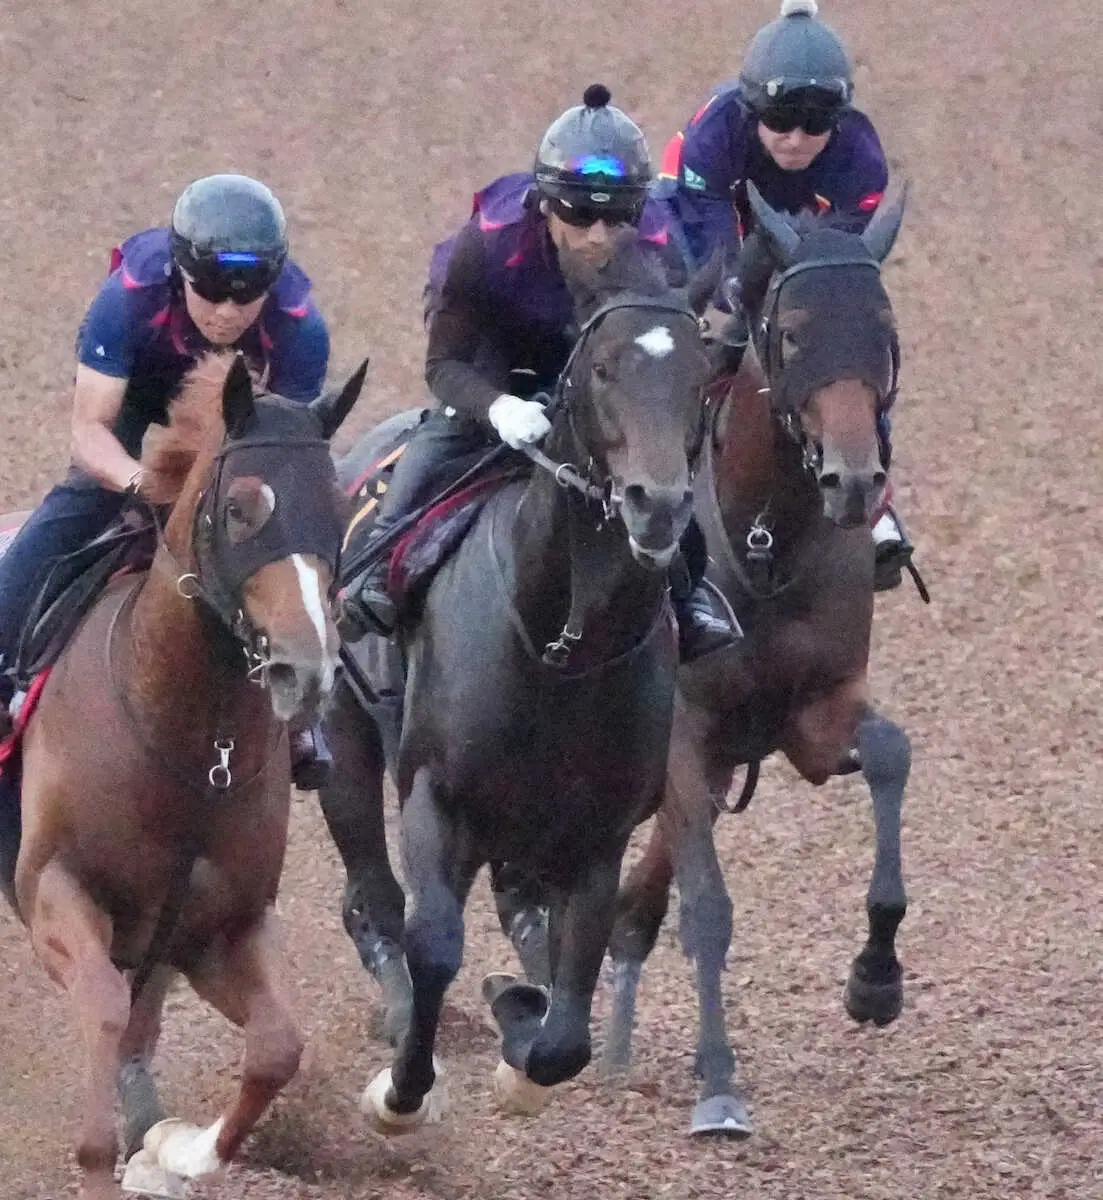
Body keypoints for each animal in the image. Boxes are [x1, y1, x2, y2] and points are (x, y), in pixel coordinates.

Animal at [0, 355, 367, 1200]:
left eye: (337, 508)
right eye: (239, 509)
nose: (305, 667)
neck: (197, 749)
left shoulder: (217, 930)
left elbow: (277, 1046)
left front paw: (185, 1151)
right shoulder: (54, 890)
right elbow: (103, 1009)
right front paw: (107, 1160)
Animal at [319, 231, 720, 1123]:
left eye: (701, 374)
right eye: (601, 366)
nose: (656, 505)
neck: (558, 643)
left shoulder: (597, 834)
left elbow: (567, 1018)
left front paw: (521, 1023)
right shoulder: (436, 797)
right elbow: (435, 943)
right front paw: (402, 1091)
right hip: (342, 747)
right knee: (375, 899)